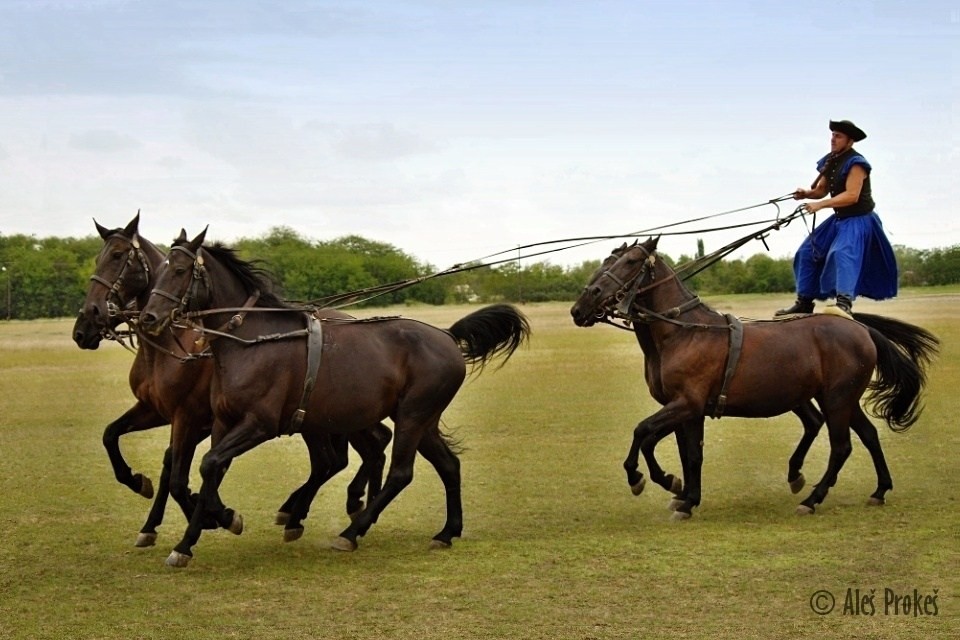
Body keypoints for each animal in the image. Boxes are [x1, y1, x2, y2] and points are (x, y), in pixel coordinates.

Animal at [73, 214, 392, 544]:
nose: (84, 325)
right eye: (98, 258)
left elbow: (180, 474)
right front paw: (147, 503)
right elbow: (115, 436)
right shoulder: (159, 411)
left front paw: (210, 516)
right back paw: (323, 508)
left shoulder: (189, 417)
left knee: (357, 451)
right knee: (354, 452)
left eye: (117, 256)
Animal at [140, 228, 532, 568]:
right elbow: (211, 470)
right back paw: (447, 532)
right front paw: (196, 535)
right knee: (448, 465)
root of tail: (447, 336)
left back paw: (351, 532)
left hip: (412, 416)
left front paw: (212, 524)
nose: (149, 317)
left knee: (399, 473)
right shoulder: (223, 423)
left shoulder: (259, 425)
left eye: (179, 270)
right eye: (157, 271)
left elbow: (208, 465)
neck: (253, 340)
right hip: (423, 421)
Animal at [568, 238, 936, 516]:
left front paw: (652, 481)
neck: (682, 333)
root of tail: (858, 327)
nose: (580, 307)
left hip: (837, 398)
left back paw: (812, 499)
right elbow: (688, 452)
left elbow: (644, 433)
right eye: (606, 260)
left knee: (841, 446)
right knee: (868, 435)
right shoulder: (685, 409)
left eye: (630, 262)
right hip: (839, 399)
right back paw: (878, 489)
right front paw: (685, 495)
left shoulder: (686, 404)